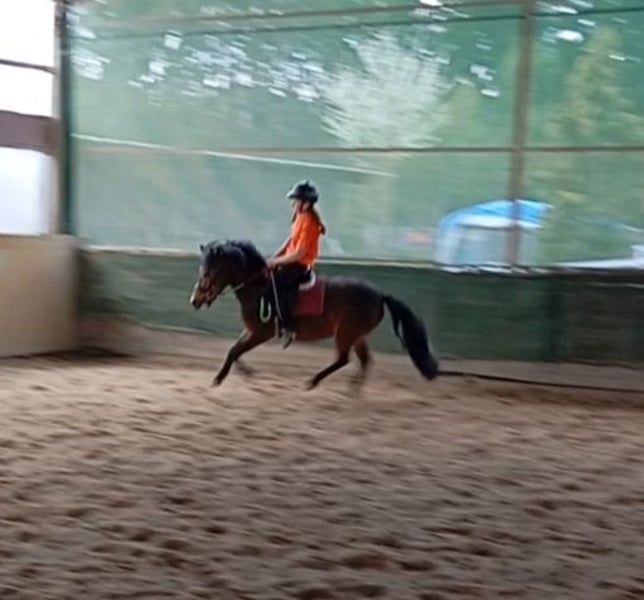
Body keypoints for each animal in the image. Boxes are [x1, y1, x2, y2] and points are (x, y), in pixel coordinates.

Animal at [189, 239, 439, 390]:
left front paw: (219, 378)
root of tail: (380, 295)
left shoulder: (261, 333)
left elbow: (235, 350)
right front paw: (245, 373)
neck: (258, 286)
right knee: (365, 360)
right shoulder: (251, 330)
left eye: (210, 270)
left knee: (343, 359)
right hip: (358, 335)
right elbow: (234, 350)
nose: (195, 300)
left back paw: (314, 381)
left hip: (346, 333)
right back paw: (353, 391)